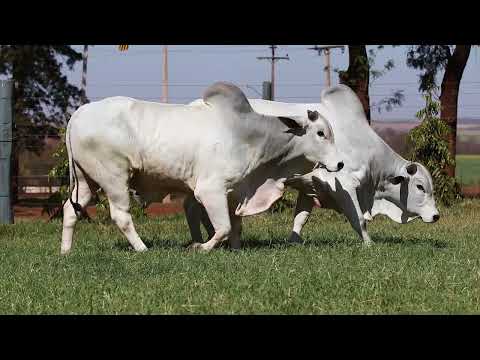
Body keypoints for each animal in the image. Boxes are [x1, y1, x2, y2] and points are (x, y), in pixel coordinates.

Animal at [62, 83, 344, 255]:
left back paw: (65, 251)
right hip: (114, 178)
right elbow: (224, 227)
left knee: (70, 210)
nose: (340, 163)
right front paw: (201, 247)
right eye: (321, 133)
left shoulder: (234, 192)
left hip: (86, 180)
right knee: (121, 216)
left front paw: (235, 249)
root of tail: (78, 114)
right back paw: (142, 249)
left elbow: (235, 226)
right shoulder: (210, 190)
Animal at [187, 84, 438, 248]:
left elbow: (301, 218)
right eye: (420, 187)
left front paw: (294, 241)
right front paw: (369, 244)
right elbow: (359, 220)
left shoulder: (309, 189)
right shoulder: (343, 185)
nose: (436, 216)